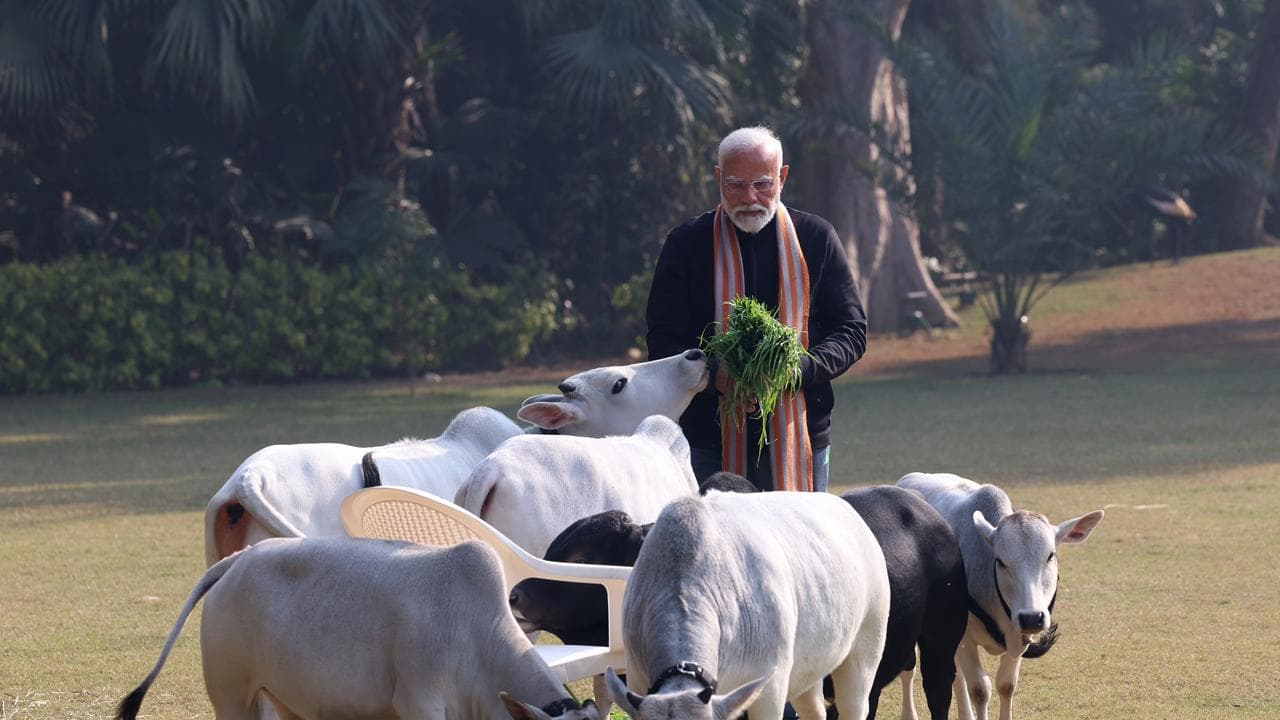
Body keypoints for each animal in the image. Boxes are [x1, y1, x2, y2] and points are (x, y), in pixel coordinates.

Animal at [896, 472, 1104, 720]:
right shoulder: (965, 638)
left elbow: (1006, 685)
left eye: (1050, 555)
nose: (1032, 617)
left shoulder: (1018, 636)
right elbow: (979, 689)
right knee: (912, 669)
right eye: (1001, 561)